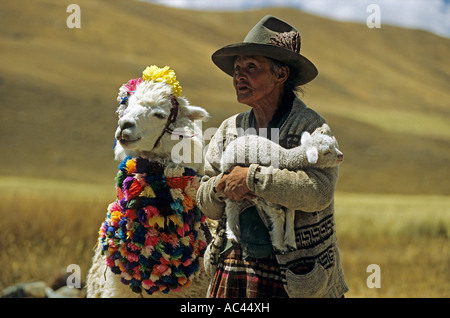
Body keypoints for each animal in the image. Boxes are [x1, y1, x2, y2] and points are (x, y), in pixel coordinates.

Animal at [220, 123, 342, 253]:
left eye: (334, 145)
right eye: (326, 152)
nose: (341, 156)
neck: (285, 158)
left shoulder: (287, 195)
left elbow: (290, 213)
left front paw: (290, 241)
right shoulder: (270, 197)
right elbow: (278, 216)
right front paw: (280, 245)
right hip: (229, 171)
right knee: (231, 205)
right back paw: (232, 233)